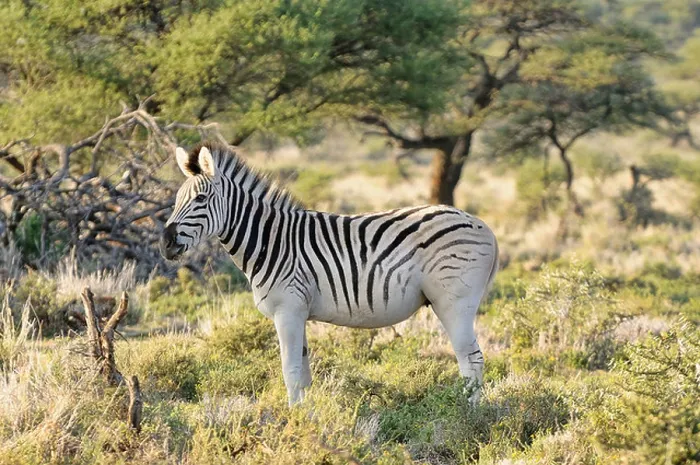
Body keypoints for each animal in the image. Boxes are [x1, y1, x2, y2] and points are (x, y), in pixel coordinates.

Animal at [161, 143, 499, 405]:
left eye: (201, 200)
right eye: (176, 200)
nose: (165, 243)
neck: (271, 240)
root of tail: (484, 226)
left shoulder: (287, 311)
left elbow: (290, 372)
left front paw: (291, 422)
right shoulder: (299, 311)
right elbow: (303, 374)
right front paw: (307, 419)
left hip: (453, 302)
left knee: (471, 359)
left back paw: (468, 416)